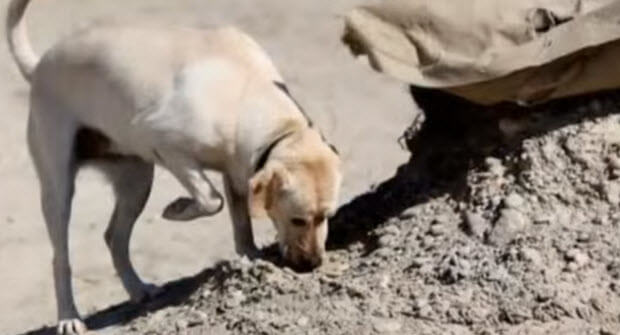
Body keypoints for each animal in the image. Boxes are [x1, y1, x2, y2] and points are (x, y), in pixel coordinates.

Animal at [6, 1, 344, 334]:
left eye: (327, 217)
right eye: (298, 219)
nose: (313, 264)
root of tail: (39, 67)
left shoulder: (237, 171)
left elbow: (240, 221)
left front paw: (249, 255)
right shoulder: (168, 146)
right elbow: (211, 200)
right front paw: (179, 209)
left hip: (137, 184)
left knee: (114, 237)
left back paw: (138, 289)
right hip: (59, 190)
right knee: (60, 259)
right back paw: (69, 316)